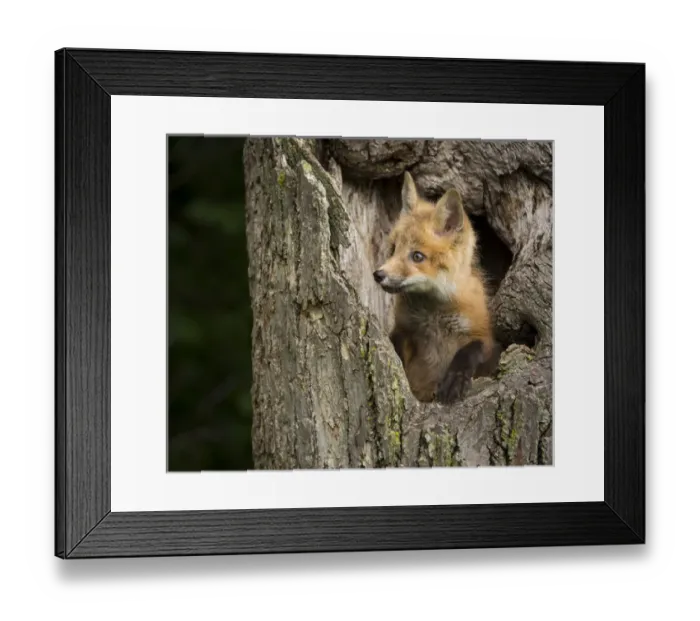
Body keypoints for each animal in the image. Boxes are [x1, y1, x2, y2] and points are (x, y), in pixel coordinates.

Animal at [373, 171, 497, 404]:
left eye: (417, 256)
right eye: (393, 249)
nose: (378, 275)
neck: (434, 316)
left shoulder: (483, 335)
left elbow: (469, 351)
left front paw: (455, 379)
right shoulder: (404, 330)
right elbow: (397, 349)